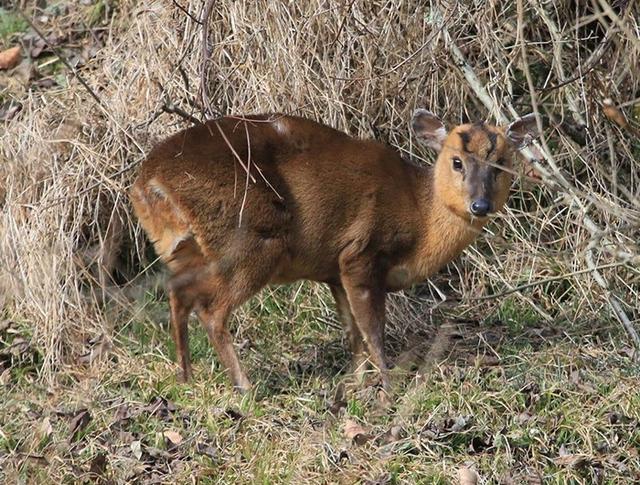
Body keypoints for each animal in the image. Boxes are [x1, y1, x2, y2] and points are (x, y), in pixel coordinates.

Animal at [131, 110, 540, 394]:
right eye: (457, 161)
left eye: (501, 163)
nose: (480, 205)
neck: (418, 215)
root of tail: (149, 183)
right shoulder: (361, 253)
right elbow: (372, 330)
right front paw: (387, 385)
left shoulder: (333, 268)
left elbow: (353, 332)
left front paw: (356, 382)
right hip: (249, 243)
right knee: (211, 311)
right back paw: (244, 386)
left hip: (184, 249)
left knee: (177, 293)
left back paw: (185, 376)